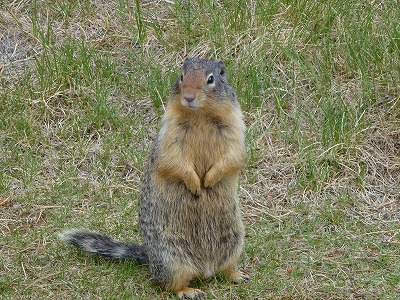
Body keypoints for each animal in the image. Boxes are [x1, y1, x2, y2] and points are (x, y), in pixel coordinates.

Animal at [59, 56, 247, 298]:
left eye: (211, 78)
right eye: (182, 76)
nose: (188, 96)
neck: (200, 115)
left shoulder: (234, 128)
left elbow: (232, 156)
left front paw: (209, 180)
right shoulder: (169, 135)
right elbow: (174, 160)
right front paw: (196, 184)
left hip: (234, 242)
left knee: (222, 270)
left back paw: (237, 275)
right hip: (172, 257)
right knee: (167, 284)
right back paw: (189, 291)